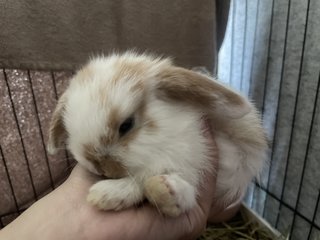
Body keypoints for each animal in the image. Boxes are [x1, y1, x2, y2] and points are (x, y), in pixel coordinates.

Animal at [47, 51, 268, 217]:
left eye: (126, 125)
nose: (101, 168)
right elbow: (140, 181)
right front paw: (106, 197)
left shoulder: (197, 160)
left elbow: (151, 183)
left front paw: (164, 190)